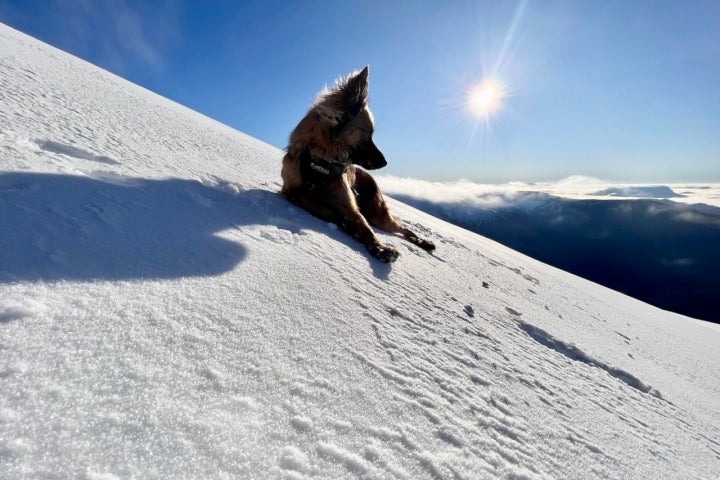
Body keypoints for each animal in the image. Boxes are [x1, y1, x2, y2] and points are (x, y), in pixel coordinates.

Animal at [282, 66, 436, 262]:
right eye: (368, 133)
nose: (385, 162)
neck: (321, 161)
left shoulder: (349, 205)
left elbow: (365, 227)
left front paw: (380, 248)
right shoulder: (290, 191)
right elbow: (315, 204)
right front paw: (346, 225)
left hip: (378, 213)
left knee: (402, 228)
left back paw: (424, 242)